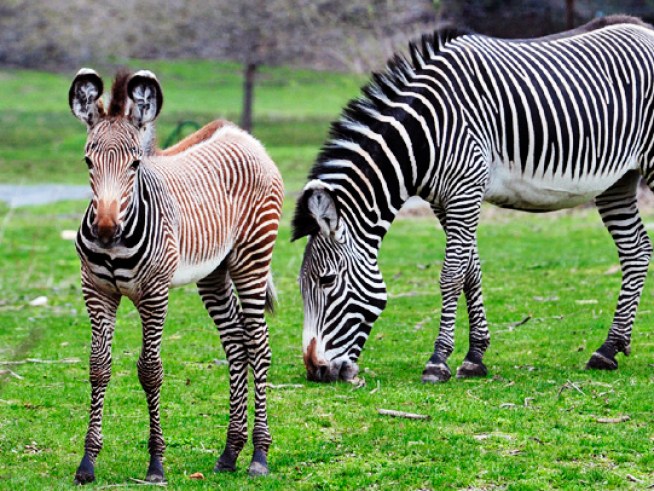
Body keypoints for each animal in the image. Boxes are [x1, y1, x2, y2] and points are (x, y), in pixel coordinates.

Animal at [68, 68, 283, 483]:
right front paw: (87, 463)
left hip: (252, 258)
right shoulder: (97, 291)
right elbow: (98, 367)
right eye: (87, 161)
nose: (105, 230)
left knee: (259, 345)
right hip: (214, 272)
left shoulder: (155, 294)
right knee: (236, 344)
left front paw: (155, 464)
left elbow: (150, 371)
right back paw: (230, 452)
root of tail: (240, 135)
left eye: (135, 164)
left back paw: (259, 455)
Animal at [292, 15, 654, 383]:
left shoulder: (465, 191)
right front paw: (475, 356)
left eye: (327, 280)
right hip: (617, 181)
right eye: (301, 284)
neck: (426, 135)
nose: (315, 370)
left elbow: (451, 274)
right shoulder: (444, 200)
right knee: (636, 251)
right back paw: (608, 349)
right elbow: (471, 271)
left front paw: (438, 360)